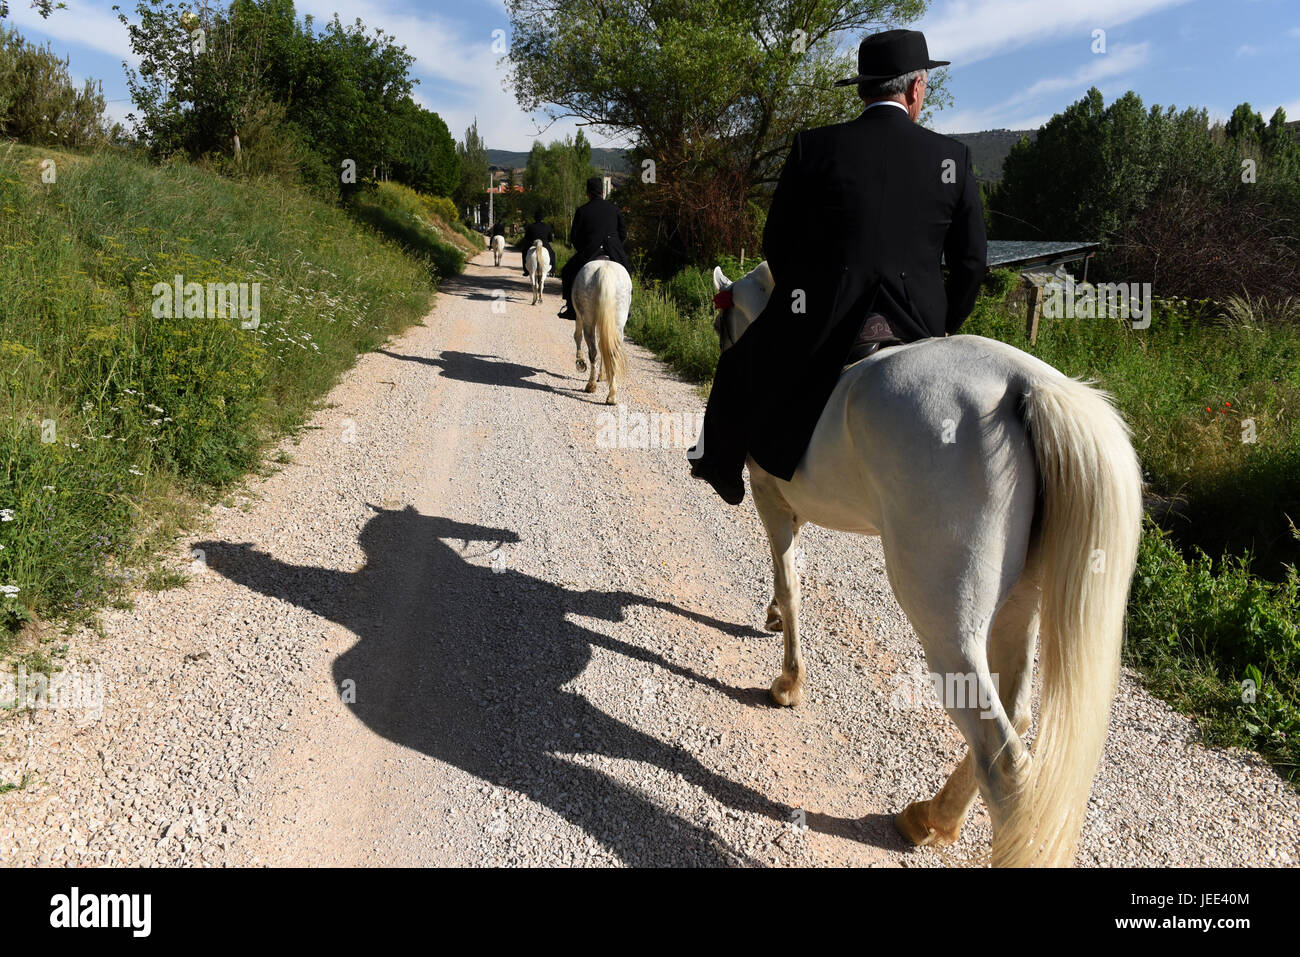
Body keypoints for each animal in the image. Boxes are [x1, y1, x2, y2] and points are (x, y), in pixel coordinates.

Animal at [572, 257, 631, 403]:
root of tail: (605, 269)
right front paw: (603, 374)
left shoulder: (578, 316)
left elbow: (577, 336)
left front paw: (580, 362)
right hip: (618, 324)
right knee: (612, 352)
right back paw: (612, 396)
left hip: (587, 319)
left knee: (593, 351)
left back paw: (591, 385)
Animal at [707, 261, 1144, 868]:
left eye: (723, 327)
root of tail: (1027, 386)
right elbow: (790, 570)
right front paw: (772, 618)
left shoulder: (769, 494)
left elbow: (792, 579)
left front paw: (789, 683)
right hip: (1020, 603)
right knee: (1015, 717)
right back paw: (929, 817)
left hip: (946, 623)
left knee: (1004, 759)